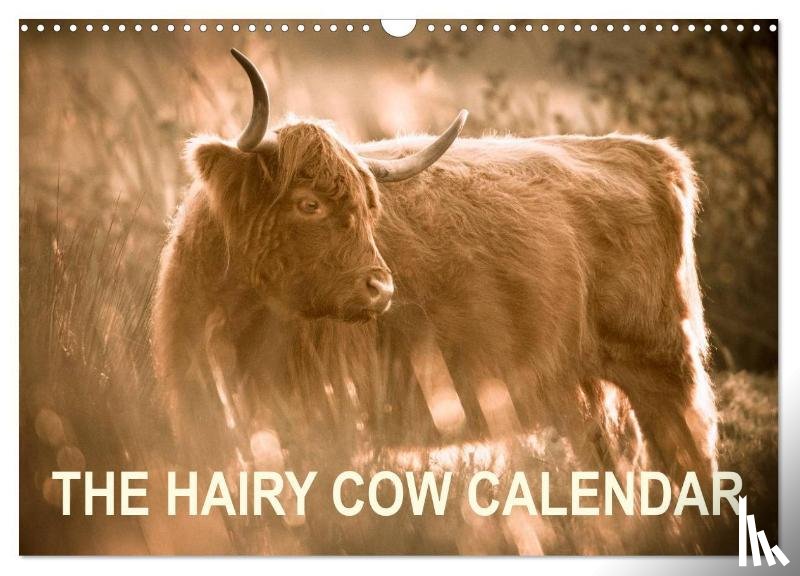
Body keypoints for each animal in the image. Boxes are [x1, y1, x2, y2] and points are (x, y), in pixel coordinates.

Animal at [152, 49, 718, 491]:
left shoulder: (329, 415)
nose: (380, 288)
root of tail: (650, 152)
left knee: (689, 458)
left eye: (370, 208)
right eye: (307, 203)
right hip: (586, 386)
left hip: (663, 366)